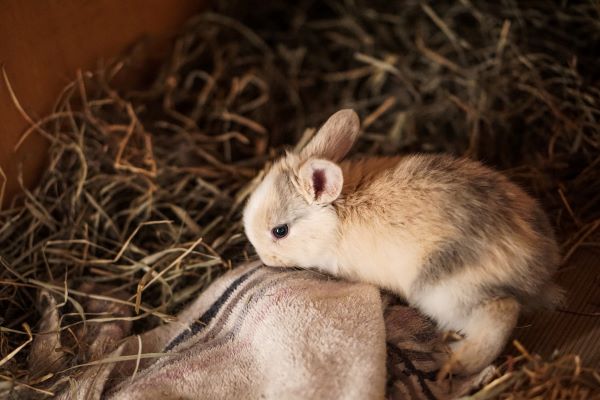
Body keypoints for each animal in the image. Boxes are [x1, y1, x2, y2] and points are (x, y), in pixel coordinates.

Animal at [241, 108, 564, 374]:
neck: (336, 216)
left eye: (280, 231)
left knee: (502, 312)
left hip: (446, 292)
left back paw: (454, 362)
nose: (263, 257)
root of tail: (538, 270)